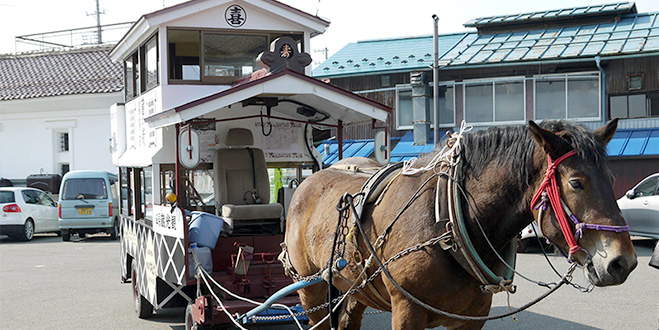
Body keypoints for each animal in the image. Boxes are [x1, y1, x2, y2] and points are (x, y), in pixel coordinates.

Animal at [286, 120, 636, 328]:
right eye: (576, 183)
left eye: (612, 179)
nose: (624, 263)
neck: (448, 223)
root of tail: (307, 181)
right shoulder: (407, 310)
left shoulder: (472, 317)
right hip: (310, 289)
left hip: (354, 288)